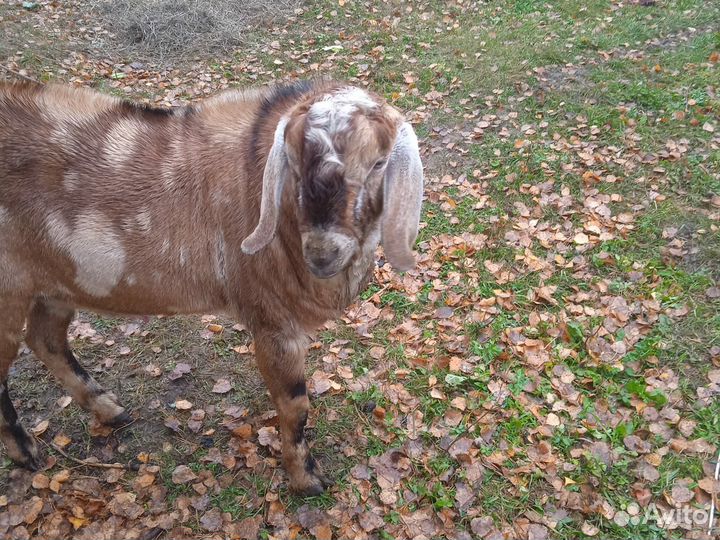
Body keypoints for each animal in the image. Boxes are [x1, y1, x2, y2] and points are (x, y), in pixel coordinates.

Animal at [0, 80, 423, 494]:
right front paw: (306, 479)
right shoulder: (270, 316)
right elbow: (295, 405)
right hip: (9, 289)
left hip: (58, 283)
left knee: (45, 339)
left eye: (379, 162)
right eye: (291, 160)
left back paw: (109, 410)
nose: (322, 253)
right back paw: (27, 453)